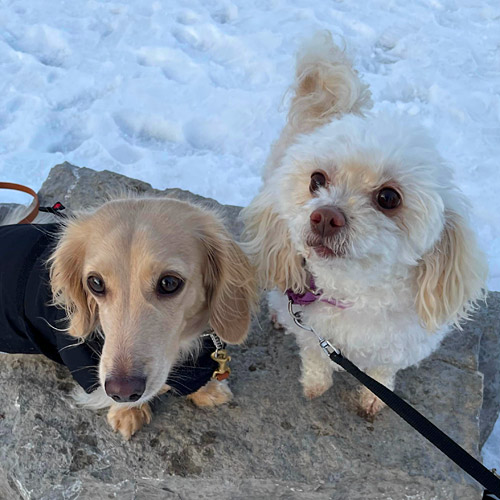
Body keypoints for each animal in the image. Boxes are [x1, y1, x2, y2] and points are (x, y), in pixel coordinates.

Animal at [240, 31, 486, 418]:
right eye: (316, 180)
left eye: (388, 197)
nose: (325, 216)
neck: (355, 292)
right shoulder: (312, 334)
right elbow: (316, 359)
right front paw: (315, 385)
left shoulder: (399, 345)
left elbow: (383, 370)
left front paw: (374, 397)